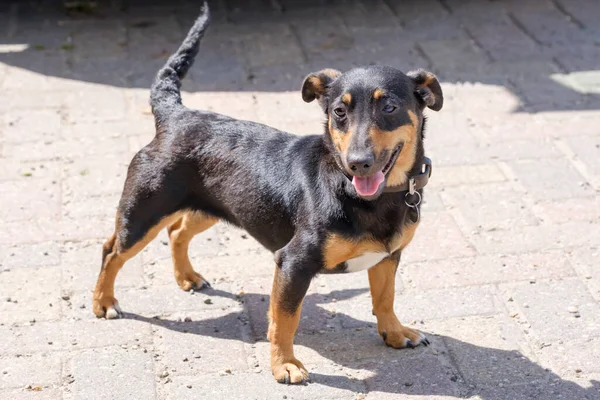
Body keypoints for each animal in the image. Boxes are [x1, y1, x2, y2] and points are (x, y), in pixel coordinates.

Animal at [92, 2, 440, 384]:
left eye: (389, 107)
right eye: (339, 112)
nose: (358, 163)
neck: (366, 196)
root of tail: (175, 115)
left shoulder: (388, 257)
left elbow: (385, 298)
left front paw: (395, 333)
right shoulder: (292, 263)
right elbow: (285, 320)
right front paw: (284, 364)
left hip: (211, 207)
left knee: (177, 231)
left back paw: (187, 277)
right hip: (143, 213)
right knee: (112, 250)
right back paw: (103, 302)